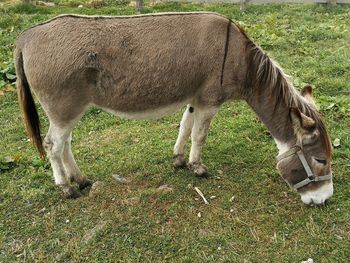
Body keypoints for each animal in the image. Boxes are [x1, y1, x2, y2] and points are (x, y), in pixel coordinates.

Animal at [15, 11, 334, 206]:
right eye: (321, 160)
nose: (325, 199)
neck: (241, 61)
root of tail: (26, 36)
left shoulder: (194, 99)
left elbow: (185, 126)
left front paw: (179, 160)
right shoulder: (209, 102)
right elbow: (199, 135)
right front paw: (198, 168)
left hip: (68, 111)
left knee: (65, 144)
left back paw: (80, 179)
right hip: (63, 109)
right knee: (53, 145)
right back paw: (66, 188)